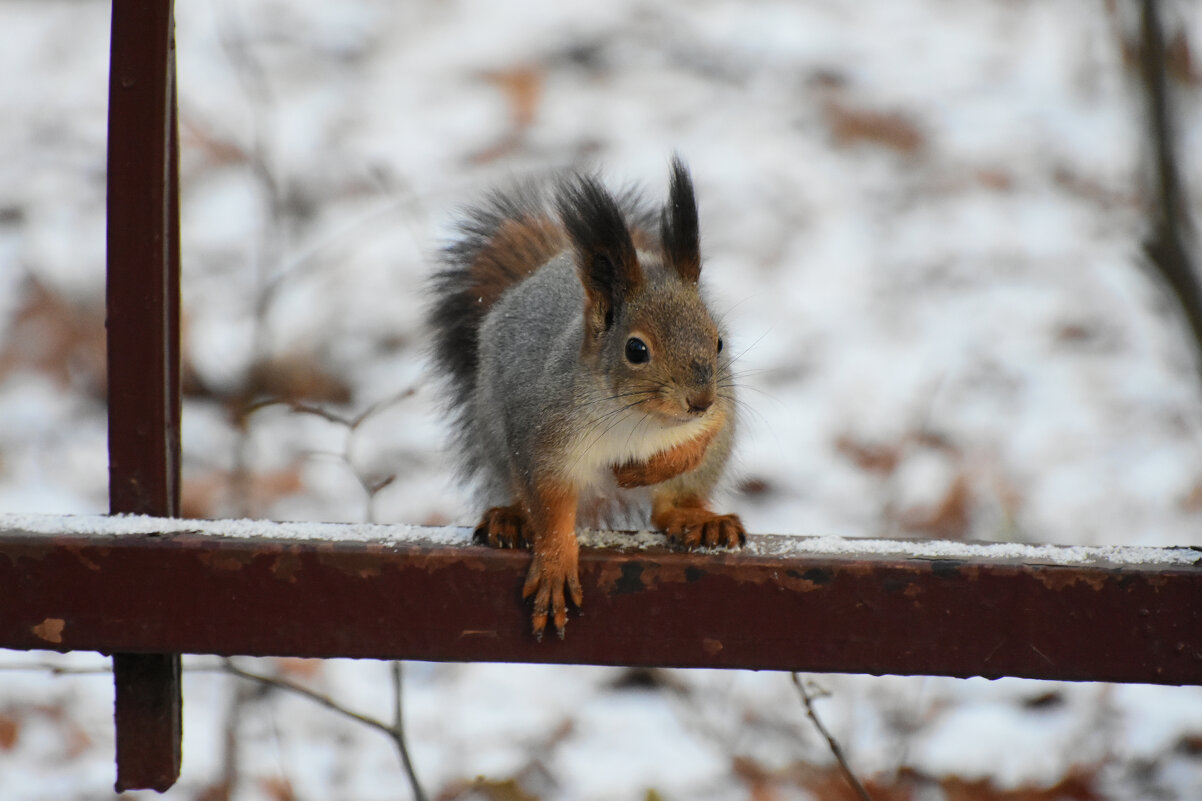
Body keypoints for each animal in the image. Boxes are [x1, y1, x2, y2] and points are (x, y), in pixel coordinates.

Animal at [427, 158, 735, 639]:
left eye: (719, 341)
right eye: (636, 350)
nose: (700, 400)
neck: (637, 419)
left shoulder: (718, 416)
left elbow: (696, 443)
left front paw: (641, 471)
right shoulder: (545, 438)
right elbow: (550, 505)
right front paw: (555, 565)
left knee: (668, 508)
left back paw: (698, 520)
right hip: (496, 434)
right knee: (525, 498)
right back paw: (511, 517)